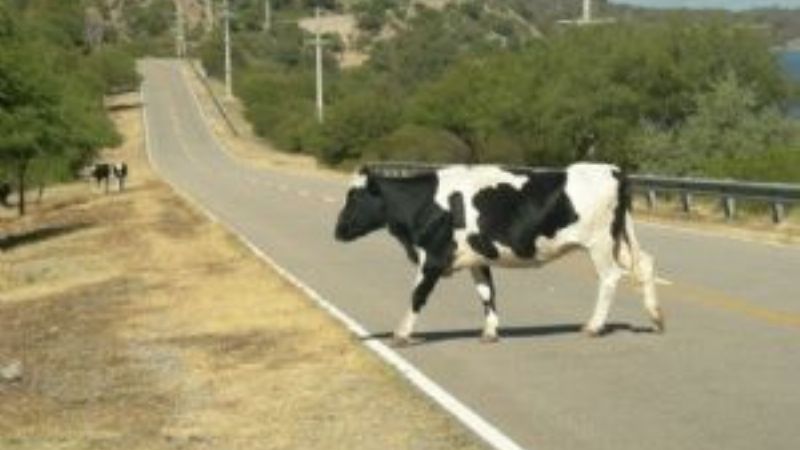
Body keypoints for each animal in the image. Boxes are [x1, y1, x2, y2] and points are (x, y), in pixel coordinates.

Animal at [334, 162, 663, 346]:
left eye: (355, 197)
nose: (337, 231)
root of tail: (612, 169)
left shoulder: (434, 258)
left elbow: (418, 296)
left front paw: (402, 333)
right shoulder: (476, 258)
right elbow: (487, 293)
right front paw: (490, 332)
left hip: (599, 243)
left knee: (610, 278)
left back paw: (594, 327)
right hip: (619, 239)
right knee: (645, 263)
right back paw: (657, 319)